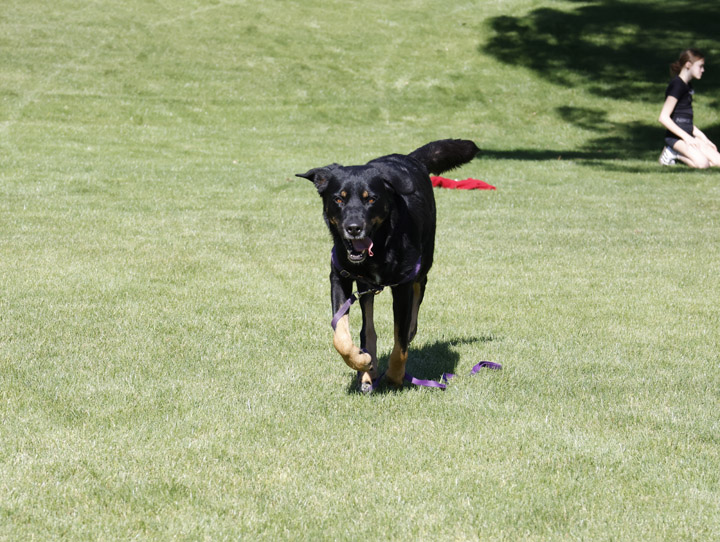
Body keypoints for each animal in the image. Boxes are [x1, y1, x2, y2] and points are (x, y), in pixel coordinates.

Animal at [298, 139, 478, 396]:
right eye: (338, 199)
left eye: (371, 199)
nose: (353, 228)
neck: (380, 246)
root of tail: (408, 158)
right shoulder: (340, 277)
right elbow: (341, 335)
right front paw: (361, 362)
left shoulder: (402, 285)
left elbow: (400, 341)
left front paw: (394, 376)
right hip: (365, 286)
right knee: (368, 330)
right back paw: (368, 372)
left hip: (423, 262)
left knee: (418, 295)